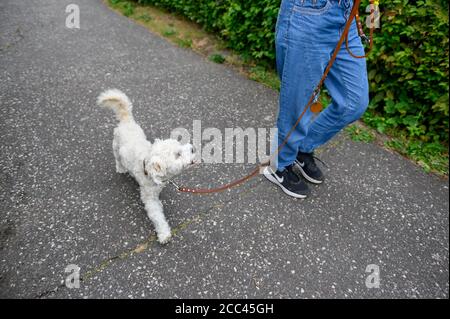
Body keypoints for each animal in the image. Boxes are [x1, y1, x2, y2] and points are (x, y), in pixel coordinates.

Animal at [97, 90, 196, 245]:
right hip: (116, 148)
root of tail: (126, 121)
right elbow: (158, 217)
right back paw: (121, 168)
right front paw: (164, 234)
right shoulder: (149, 199)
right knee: (118, 160)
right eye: (178, 154)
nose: (193, 148)